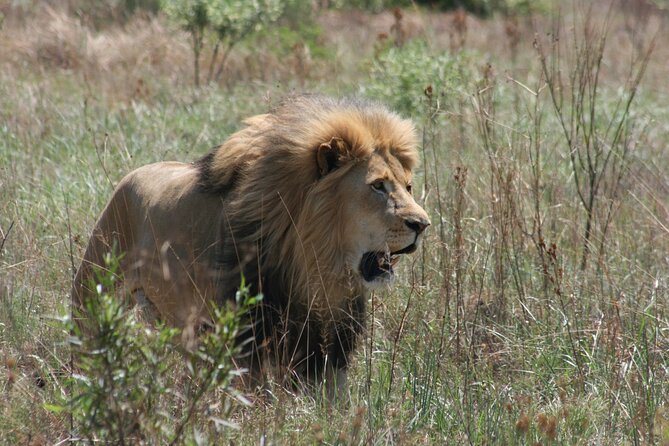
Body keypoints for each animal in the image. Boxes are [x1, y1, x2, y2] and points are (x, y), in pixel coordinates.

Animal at [72, 95, 430, 398]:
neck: (315, 267)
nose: (423, 225)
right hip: (92, 299)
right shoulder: (248, 343)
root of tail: (133, 174)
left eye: (409, 186)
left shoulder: (328, 346)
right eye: (378, 186)